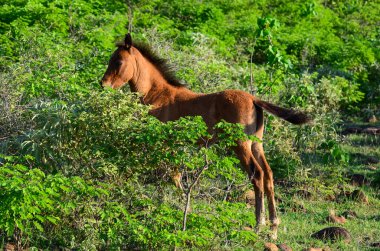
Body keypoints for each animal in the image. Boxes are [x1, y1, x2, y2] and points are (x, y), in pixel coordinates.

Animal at [101, 33, 312, 239]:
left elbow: (171, 174)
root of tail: (254, 99)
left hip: (240, 145)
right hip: (256, 144)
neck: (157, 94)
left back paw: (259, 225)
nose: (103, 85)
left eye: (118, 61)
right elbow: (172, 174)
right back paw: (274, 228)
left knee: (257, 174)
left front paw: (180, 206)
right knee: (268, 174)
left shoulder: (165, 141)